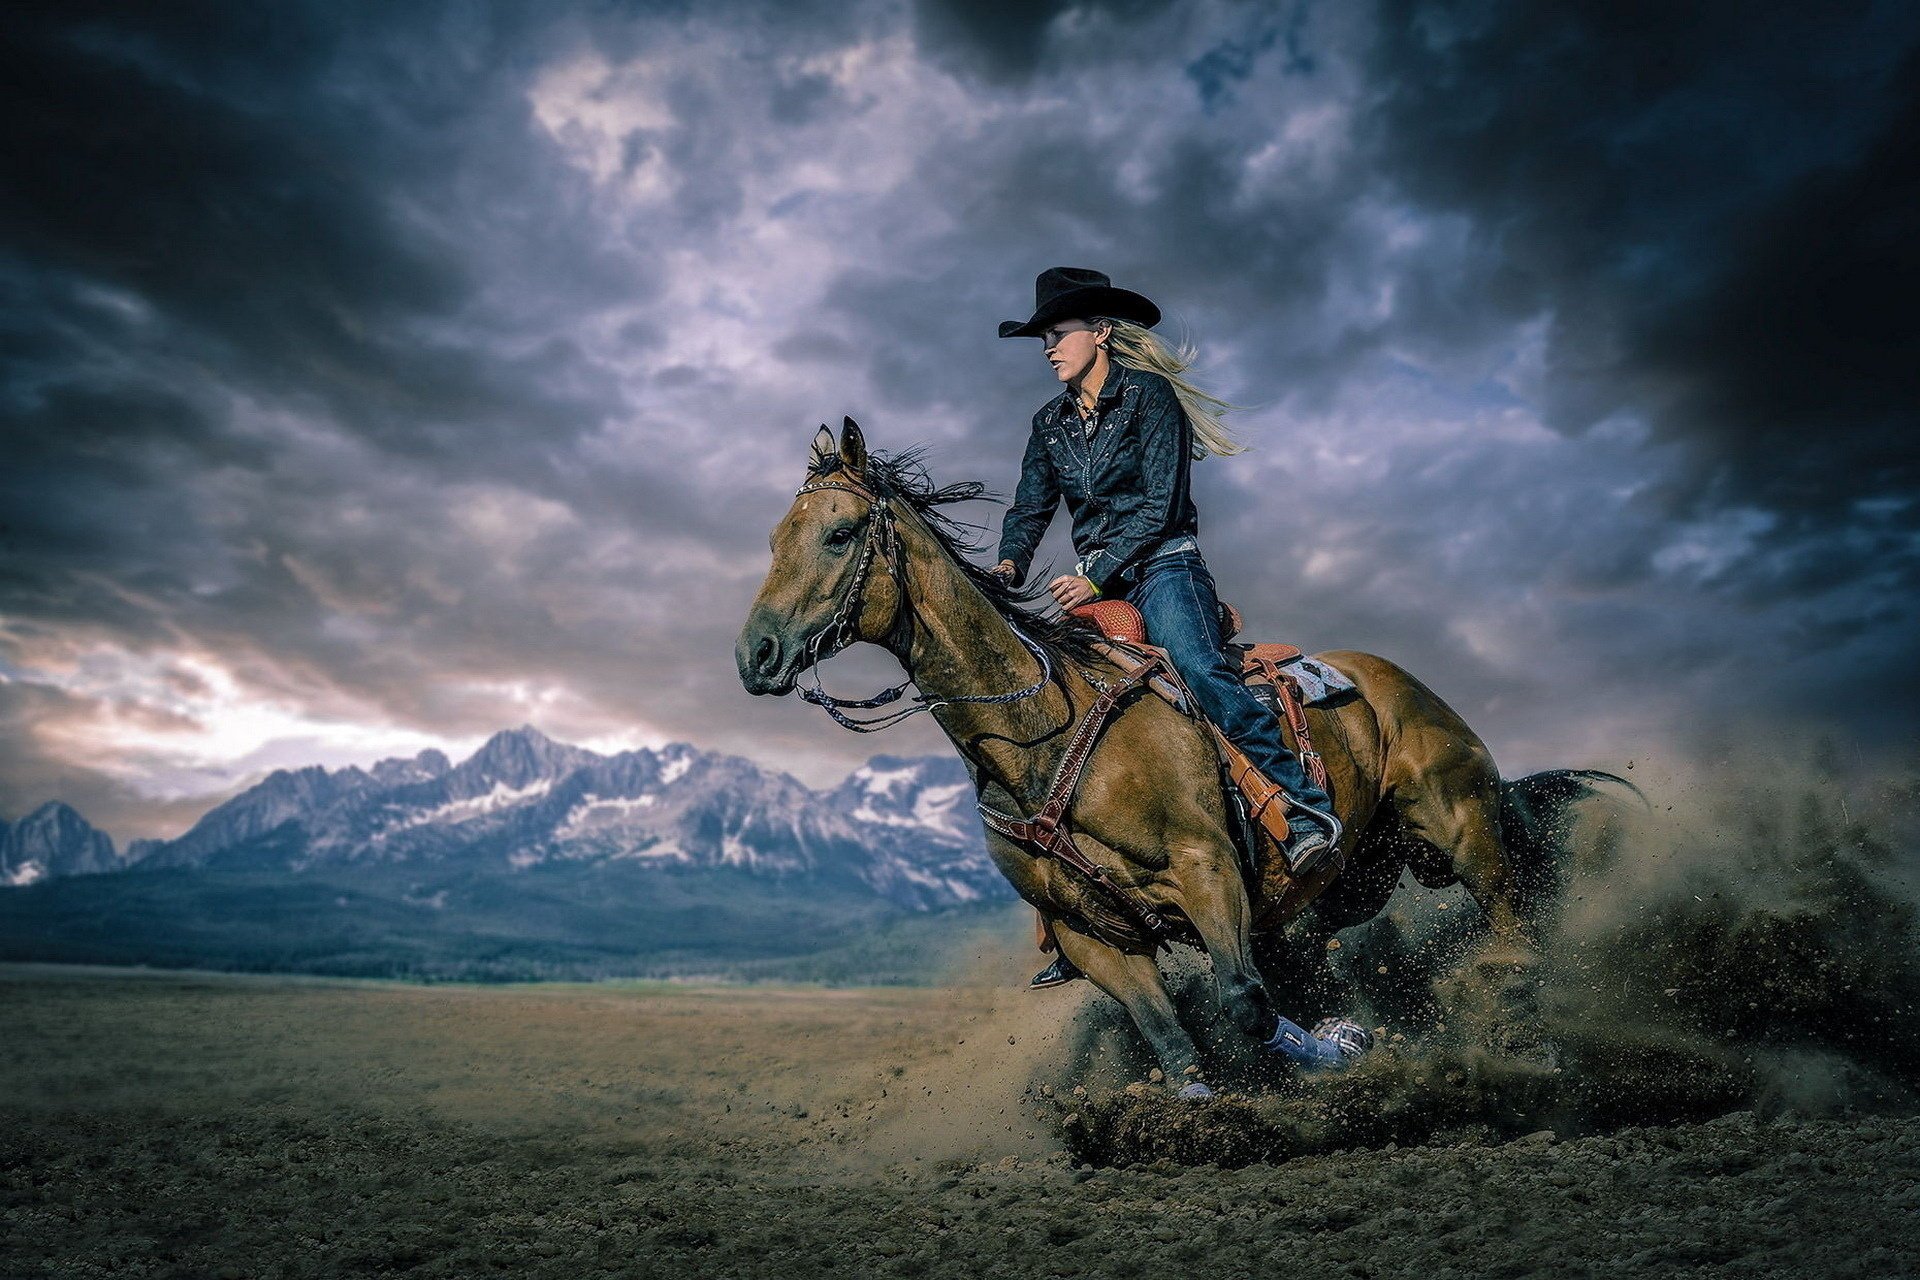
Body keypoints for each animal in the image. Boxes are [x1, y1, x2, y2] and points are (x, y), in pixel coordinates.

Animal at [738, 419, 1602, 1093]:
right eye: (774, 539)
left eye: (839, 534)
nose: (756, 655)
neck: (1045, 734)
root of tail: (1398, 685)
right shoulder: (1090, 935)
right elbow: (1173, 1043)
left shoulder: (1206, 869)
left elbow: (1245, 1002)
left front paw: (1344, 1049)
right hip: (1349, 880)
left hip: (1463, 832)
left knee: (1510, 926)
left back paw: (1526, 1036)